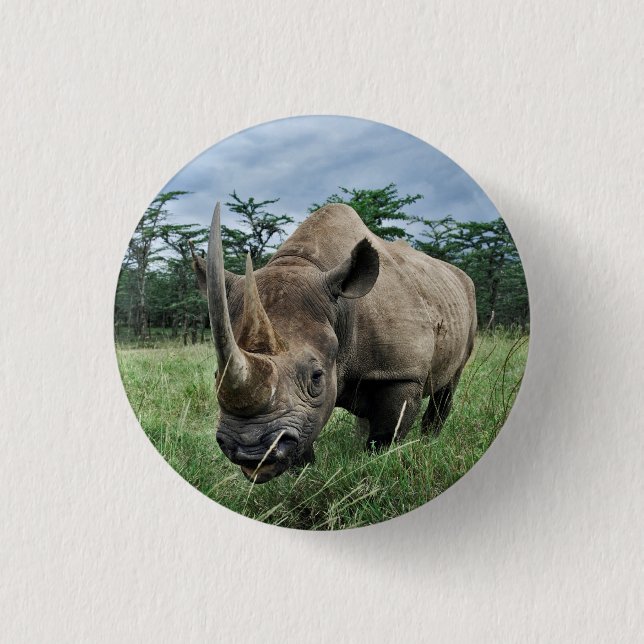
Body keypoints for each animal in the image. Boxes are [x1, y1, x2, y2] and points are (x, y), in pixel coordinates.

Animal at [192, 201, 476, 483]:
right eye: (216, 375)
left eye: (316, 377)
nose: (250, 451)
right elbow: (306, 436)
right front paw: (305, 476)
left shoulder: (402, 373)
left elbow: (386, 435)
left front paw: (375, 465)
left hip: (466, 297)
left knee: (450, 382)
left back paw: (429, 442)